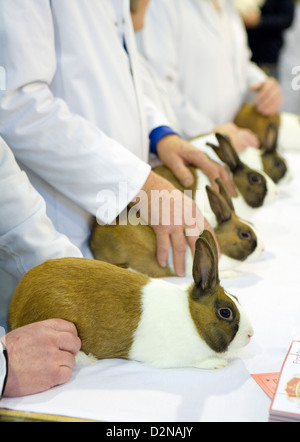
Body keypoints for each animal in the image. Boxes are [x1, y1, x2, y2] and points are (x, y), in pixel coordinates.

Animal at [8, 230, 253, 372]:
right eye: (225, 312)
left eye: (237, 298)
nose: (251, 335)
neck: (193, 319)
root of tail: (15, 307)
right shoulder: (175, 358)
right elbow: (197, 362)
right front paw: (217, 363)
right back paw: (89, 359)